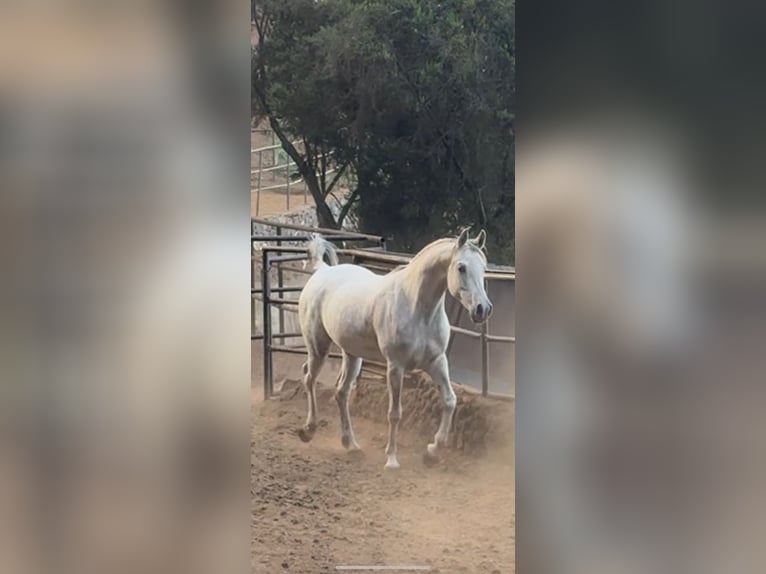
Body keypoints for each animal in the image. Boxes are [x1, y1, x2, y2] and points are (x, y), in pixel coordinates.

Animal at [296, 228, 492, 469]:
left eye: (484, 267)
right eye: (461, 267)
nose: (482, 309)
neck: (417, 308)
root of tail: (322, 271)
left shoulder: (437, 362)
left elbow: (449, 401)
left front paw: (432, 452)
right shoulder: (395, 367)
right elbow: (395, 413)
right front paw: (391, 460)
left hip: (352, 355)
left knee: (341, 392)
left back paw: (351, 445)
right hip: (318, 347)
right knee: (309, 379)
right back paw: (308, 430)